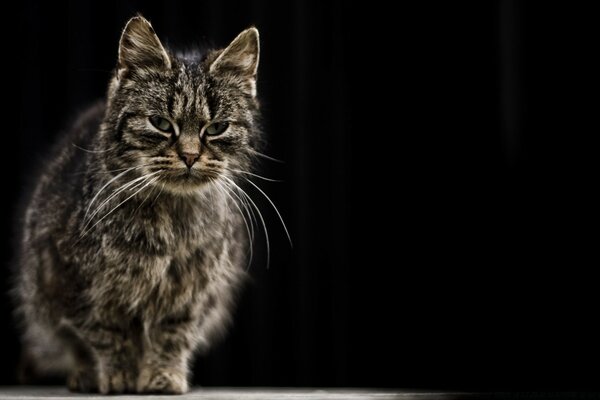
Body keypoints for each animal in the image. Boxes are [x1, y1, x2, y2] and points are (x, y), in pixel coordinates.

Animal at [13, 15, 260, 394]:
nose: (190, 155)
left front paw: (164, 376)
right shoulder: (78, 287)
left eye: (217, 128)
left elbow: (171, 337)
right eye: (160, 123)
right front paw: (117, 375)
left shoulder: (192, 295)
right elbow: (107, 335)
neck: (170, 219)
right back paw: (85, 376)